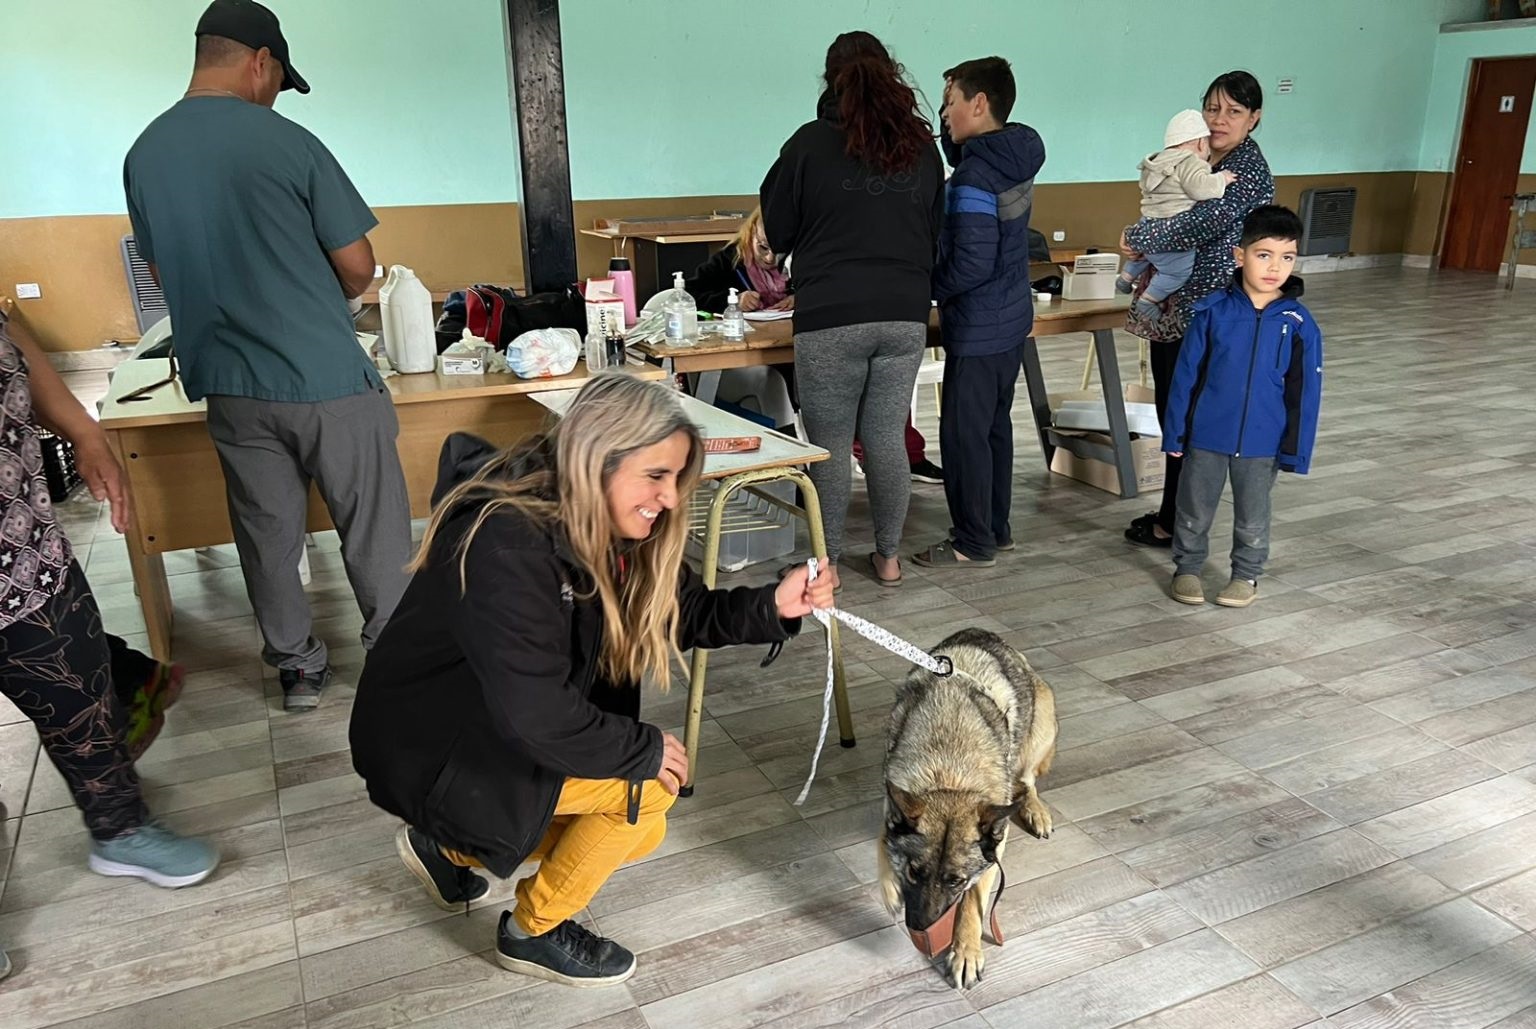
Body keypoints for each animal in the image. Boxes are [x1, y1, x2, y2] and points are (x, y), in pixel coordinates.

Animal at [878, 629, 1056, 989]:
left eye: (956, 881)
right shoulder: (890, 802)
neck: (949, 774)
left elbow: (972, 905)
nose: (920, 930)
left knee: (1027, 781)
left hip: (1042, 725)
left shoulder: (992, 853)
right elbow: (881, 841)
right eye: (913, 872)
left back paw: (1035, 810)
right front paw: (890, 888)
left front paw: (965, 951)